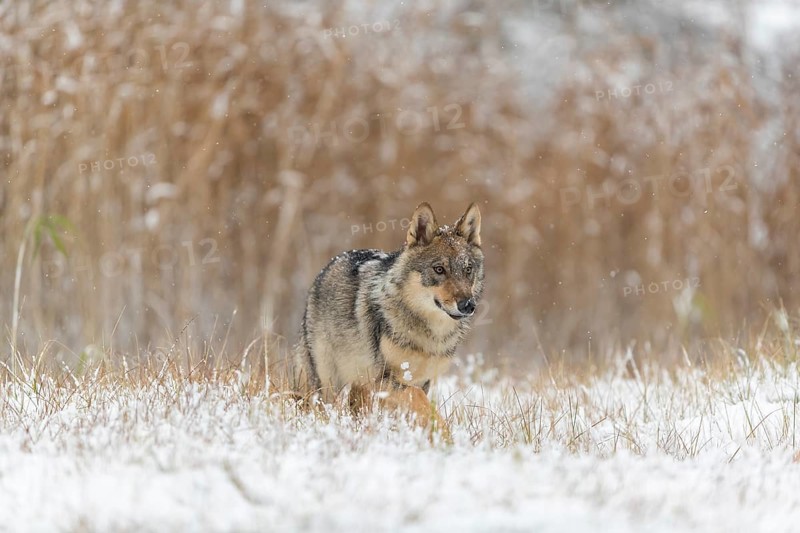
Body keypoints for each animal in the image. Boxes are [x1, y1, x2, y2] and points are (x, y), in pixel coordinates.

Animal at [293, 202, 484, 421]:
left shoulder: (423, 381)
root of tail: (329, 265)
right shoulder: (384, 379)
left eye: (468, 270)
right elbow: (420, 399)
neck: (430, 335)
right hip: (326, 383)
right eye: (439, 269)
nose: (468, 305)